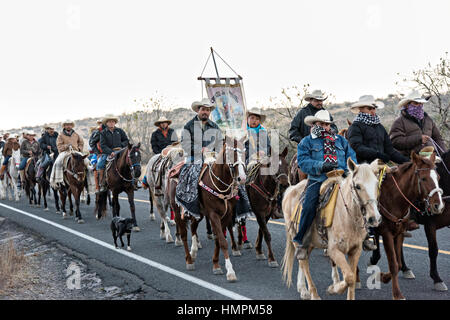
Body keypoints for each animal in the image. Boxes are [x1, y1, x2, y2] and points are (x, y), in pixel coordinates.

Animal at [282, 160, 384, 300]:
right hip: (296, 238)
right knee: (304, 263)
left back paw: (302, 289)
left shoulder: (355, 250)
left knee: (303, 259)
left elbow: (351, 279)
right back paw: (313, 294)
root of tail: (290, 190)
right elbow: (349, 277)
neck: (347, 217)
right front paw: (333, 289)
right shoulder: (334, 250)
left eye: (376, 184)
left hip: (311, 242)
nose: (375, 218)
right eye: (357, 186)